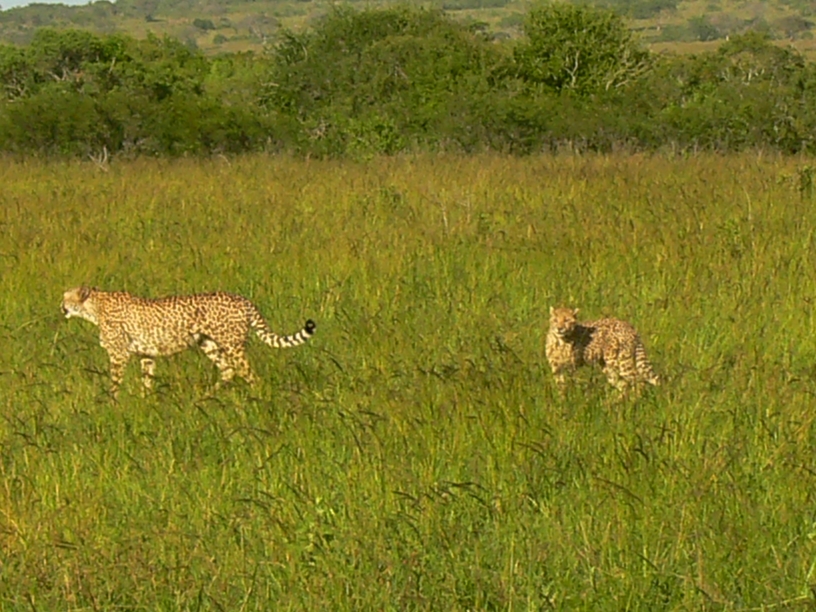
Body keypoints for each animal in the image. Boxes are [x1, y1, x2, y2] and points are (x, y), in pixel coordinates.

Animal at [61, 286, 316, 397]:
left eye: (66, 298)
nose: (61, 307)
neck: (94, 306)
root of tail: (243, 299)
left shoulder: (118, 355)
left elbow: (114, 382)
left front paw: (112, 403)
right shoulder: (147, 354)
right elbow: (146, 381)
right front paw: (145, 402)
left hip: (232, 345)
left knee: (250, 374)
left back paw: (257, 397)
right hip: (208, 344)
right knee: (228, 370)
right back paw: (205, 397)